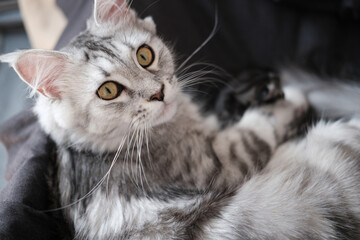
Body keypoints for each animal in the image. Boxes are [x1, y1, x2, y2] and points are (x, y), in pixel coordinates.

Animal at [0, 0, 360, 239]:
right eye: (109, 90)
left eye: (145, 55)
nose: (158, 93)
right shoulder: (219, 162)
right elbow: (262, 126)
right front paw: (290, 95)